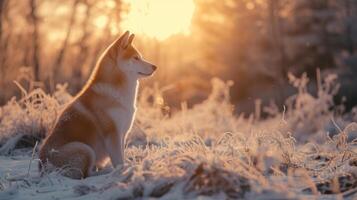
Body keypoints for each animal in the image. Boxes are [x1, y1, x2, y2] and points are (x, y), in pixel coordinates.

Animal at [39, 31, 156, 180]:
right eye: (136, 58)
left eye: (140, 57)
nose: (155, 67)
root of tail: (42, 168)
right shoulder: (113, 134)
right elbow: (119, 162)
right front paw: (124, 171)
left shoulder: (122, 134)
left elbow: (121, 156)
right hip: (85, 149)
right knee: (85, 175)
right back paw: (105, 172)